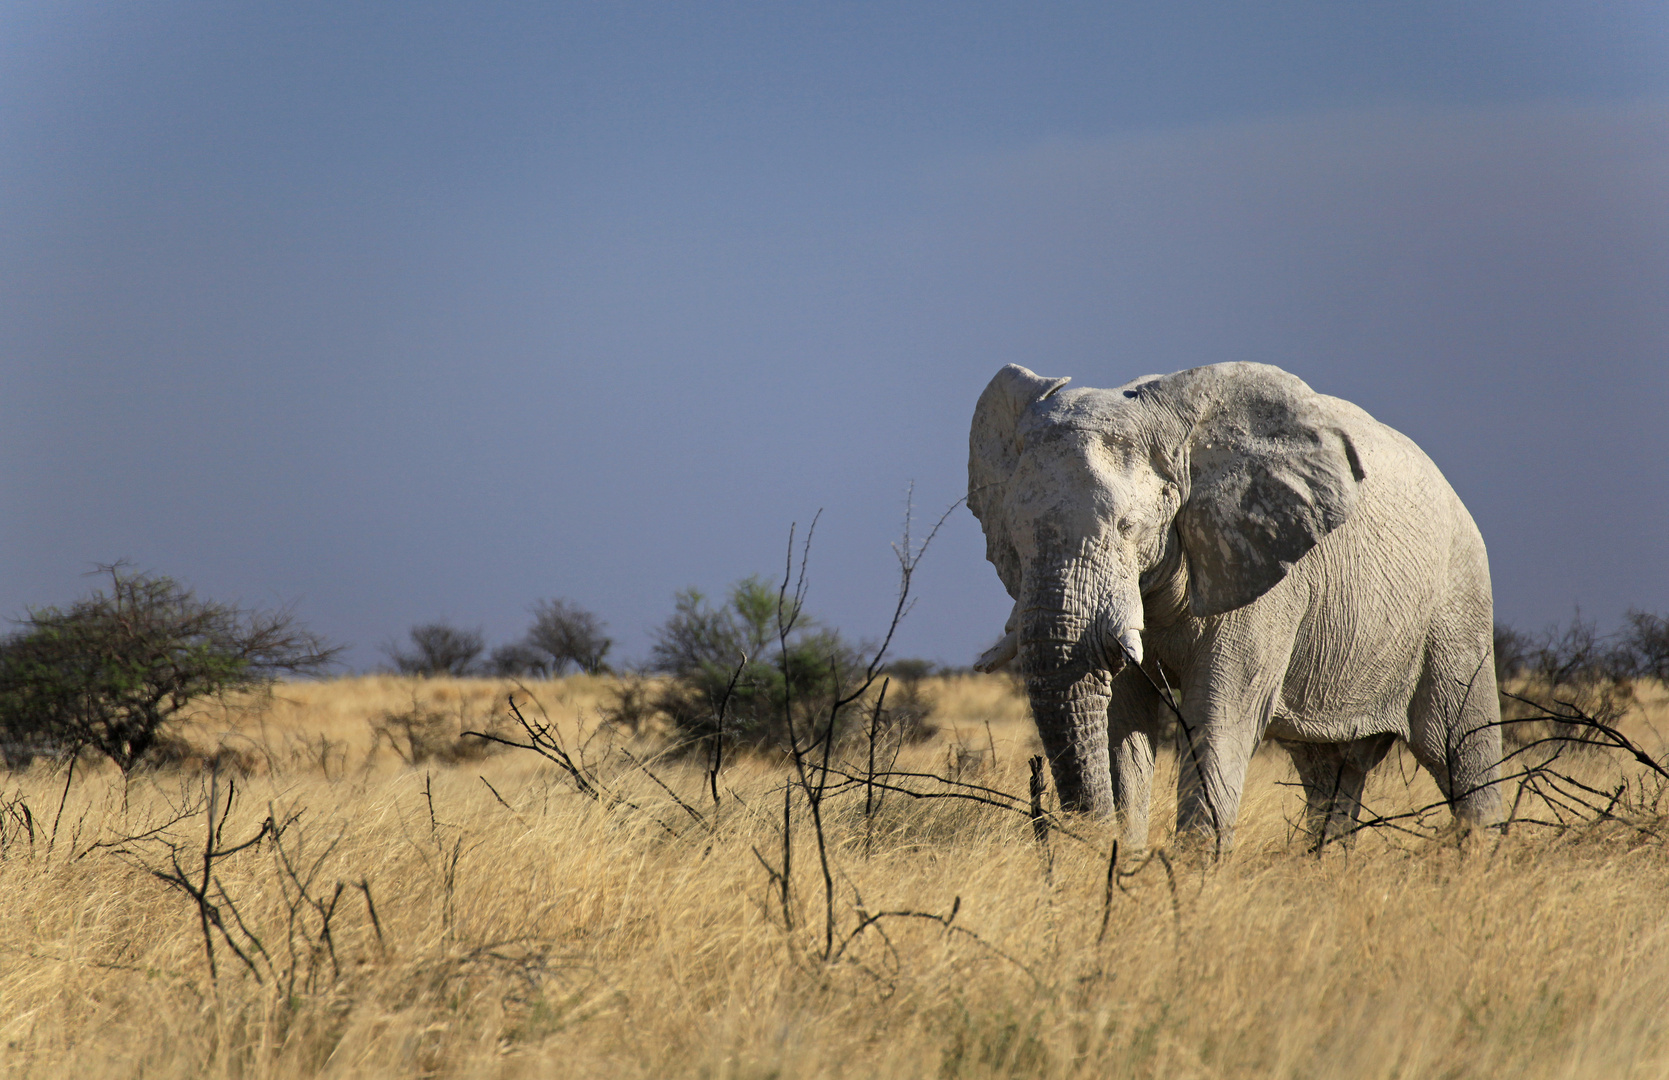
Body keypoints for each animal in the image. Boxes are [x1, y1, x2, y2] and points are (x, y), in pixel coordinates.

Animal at [968, 365, 1502, 854]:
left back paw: (1479, 863)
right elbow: (1121, 718)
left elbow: (1218, 712)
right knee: (1330, 770)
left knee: (1460, 750)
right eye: (1013, 537)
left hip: (1458, 602)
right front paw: (1125, 864)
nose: (1087, 838)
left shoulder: (1264, 570)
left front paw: (1192, 875)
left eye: (1128, 527)